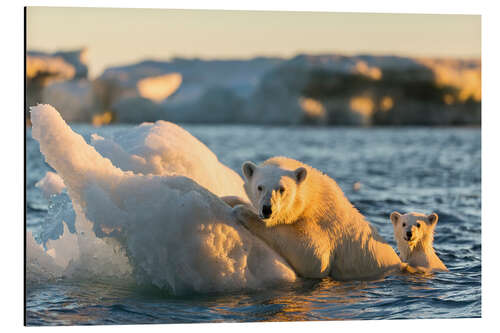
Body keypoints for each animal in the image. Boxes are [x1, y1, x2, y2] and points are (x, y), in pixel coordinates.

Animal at [232, 156, 404, 280]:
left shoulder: (324, 224)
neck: (314, 197)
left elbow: (315, 257)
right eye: (259, 187)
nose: (267, 209)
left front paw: (242, 211)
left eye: (281, 189)